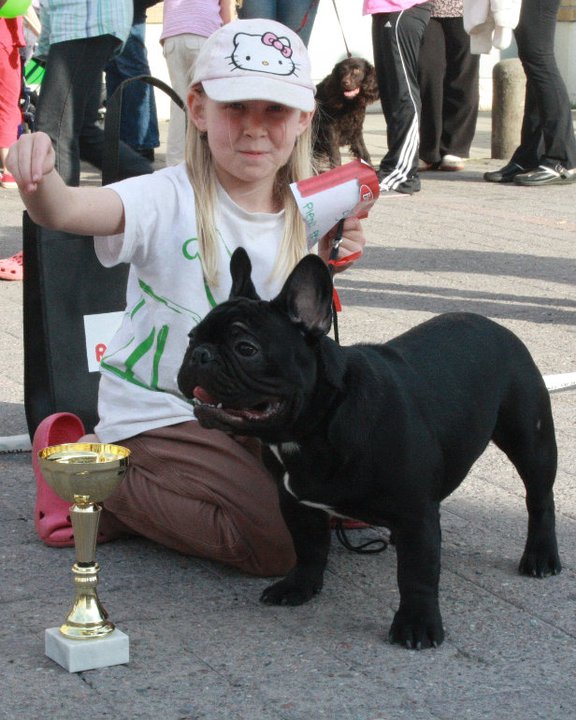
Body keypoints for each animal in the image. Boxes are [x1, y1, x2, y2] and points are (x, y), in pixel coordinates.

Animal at [177, 248, 561, 650]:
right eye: (191, 337)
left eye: (246, 349)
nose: (200, 354)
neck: (316, 424)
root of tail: (495, 326)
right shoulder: (297, 504)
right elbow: (309, 547)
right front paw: (300, 586)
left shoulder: (416, 514)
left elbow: (417, 573)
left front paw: (417, 624)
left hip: (530, 439)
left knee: (540, 498)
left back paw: (541, 556)